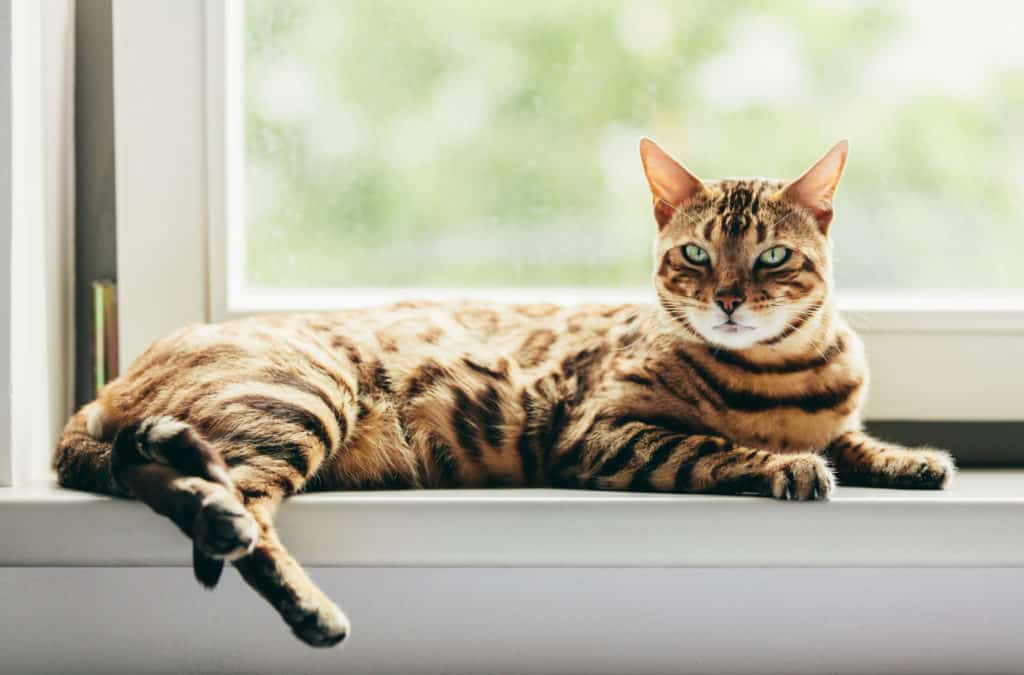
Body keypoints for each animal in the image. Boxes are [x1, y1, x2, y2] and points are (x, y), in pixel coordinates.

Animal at [54, 136, 950, 643]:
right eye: (696, 254)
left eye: (771, 257)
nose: (728, 299)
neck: (783, 374)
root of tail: (109, 384)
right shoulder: (600, 433)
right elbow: (717, 446)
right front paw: (786, 464)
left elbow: (850, 435)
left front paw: (908, 457)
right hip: (299, 396)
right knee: (229, 499)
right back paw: (299, 597)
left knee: (157, 474)